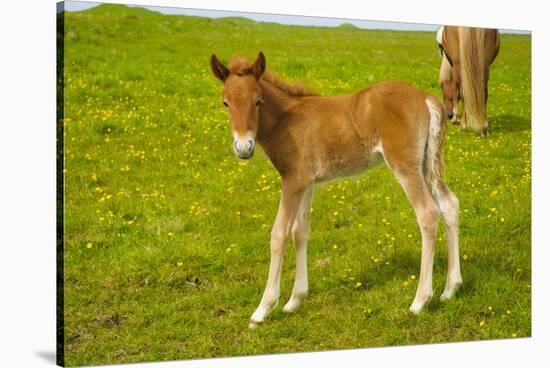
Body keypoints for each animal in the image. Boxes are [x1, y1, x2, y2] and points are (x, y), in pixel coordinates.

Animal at [213, 51, 464, 328]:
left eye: (258, 101)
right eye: (225, 103)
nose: (243, 148)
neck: (287, 120)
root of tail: (425, 98)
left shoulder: (292, 181)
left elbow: (279, 234)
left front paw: (263, 310)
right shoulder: (306, 183)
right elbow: (300, 232)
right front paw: (295, 301)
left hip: (405, 165)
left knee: (428, 214)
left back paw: (420, 300)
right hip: (428, 164)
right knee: (449, 205)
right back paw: (450, 289)